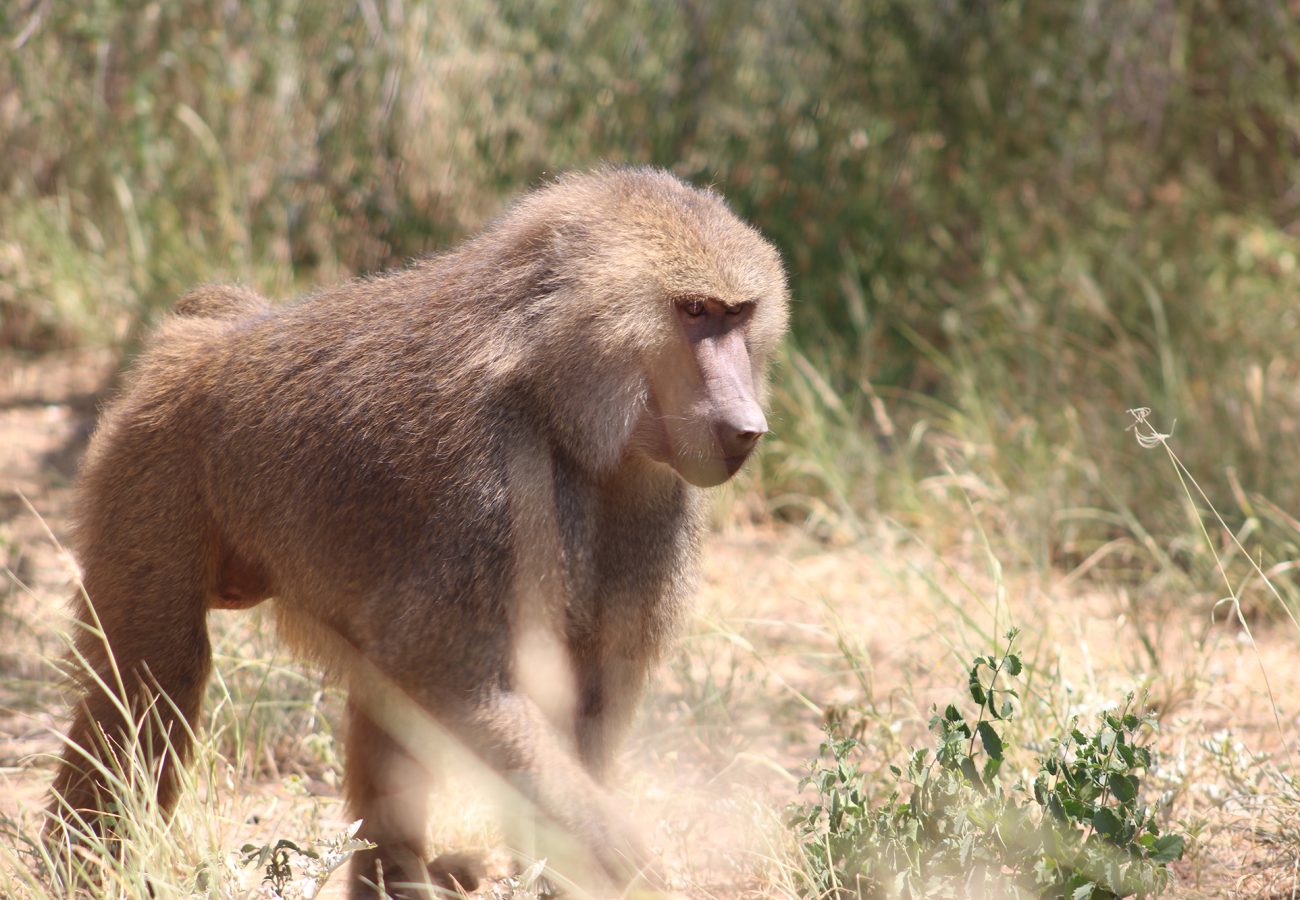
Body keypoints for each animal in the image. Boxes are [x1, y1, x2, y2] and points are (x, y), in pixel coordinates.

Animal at [47, 166, 789, 896]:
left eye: (739, 315)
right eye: (693, 312)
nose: (747, 427)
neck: (556, 399)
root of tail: (208, 336)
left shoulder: (652, 502)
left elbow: (580, 700)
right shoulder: (495, 488)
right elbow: (449, 677)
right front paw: (631, 866)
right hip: (153, 461)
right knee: (156, 675)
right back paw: (79, 870)